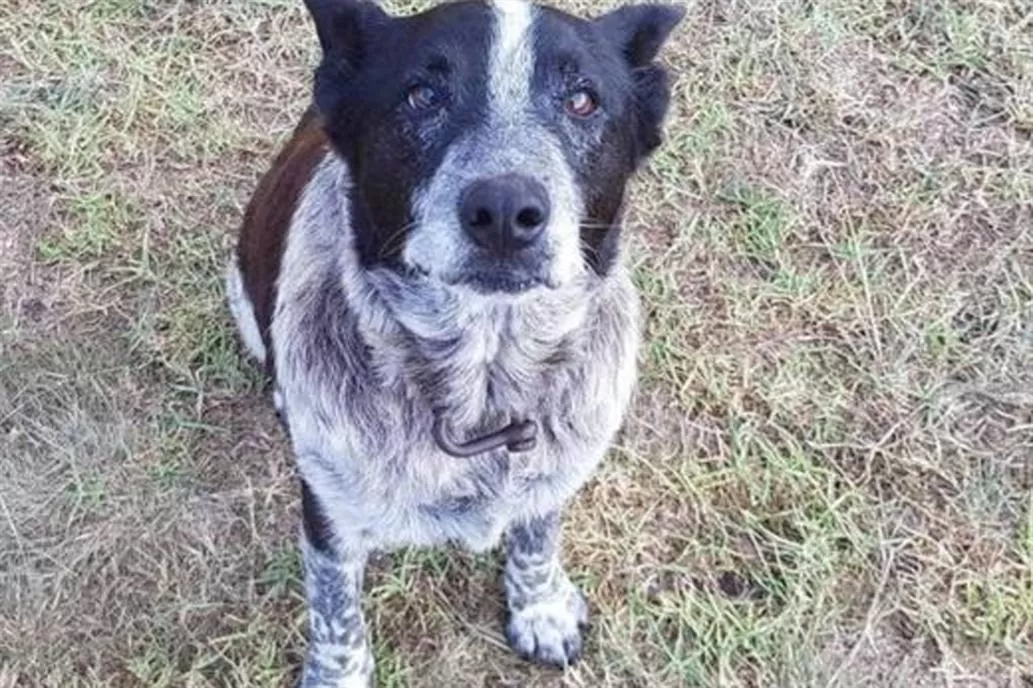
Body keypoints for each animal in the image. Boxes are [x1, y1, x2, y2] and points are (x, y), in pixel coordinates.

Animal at [228, 0, 685, 681]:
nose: (506, 210)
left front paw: (540, 609)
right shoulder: (330, 513)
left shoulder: (552, 473)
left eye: (583, 100)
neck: (482, 386)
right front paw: (339, 675)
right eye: (421, 95)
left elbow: (536, 538)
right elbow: (335, 610)